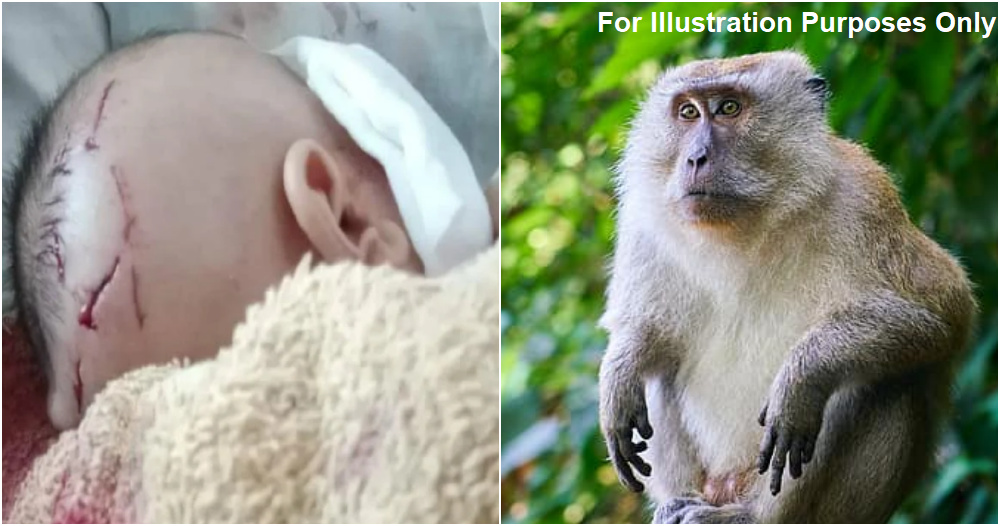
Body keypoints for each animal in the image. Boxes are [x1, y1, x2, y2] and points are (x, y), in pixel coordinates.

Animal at [597, 51, 976, 523]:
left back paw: (754, 514)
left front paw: (802, 377)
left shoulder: (864, 200)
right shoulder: (643, 221)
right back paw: (678, 503)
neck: (750, 221)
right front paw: (619, 374)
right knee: (664, 362)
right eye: (687, 113)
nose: (695, 158)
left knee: (885, 380)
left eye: (729, 108)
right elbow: (644, 329)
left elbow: (943, 313)